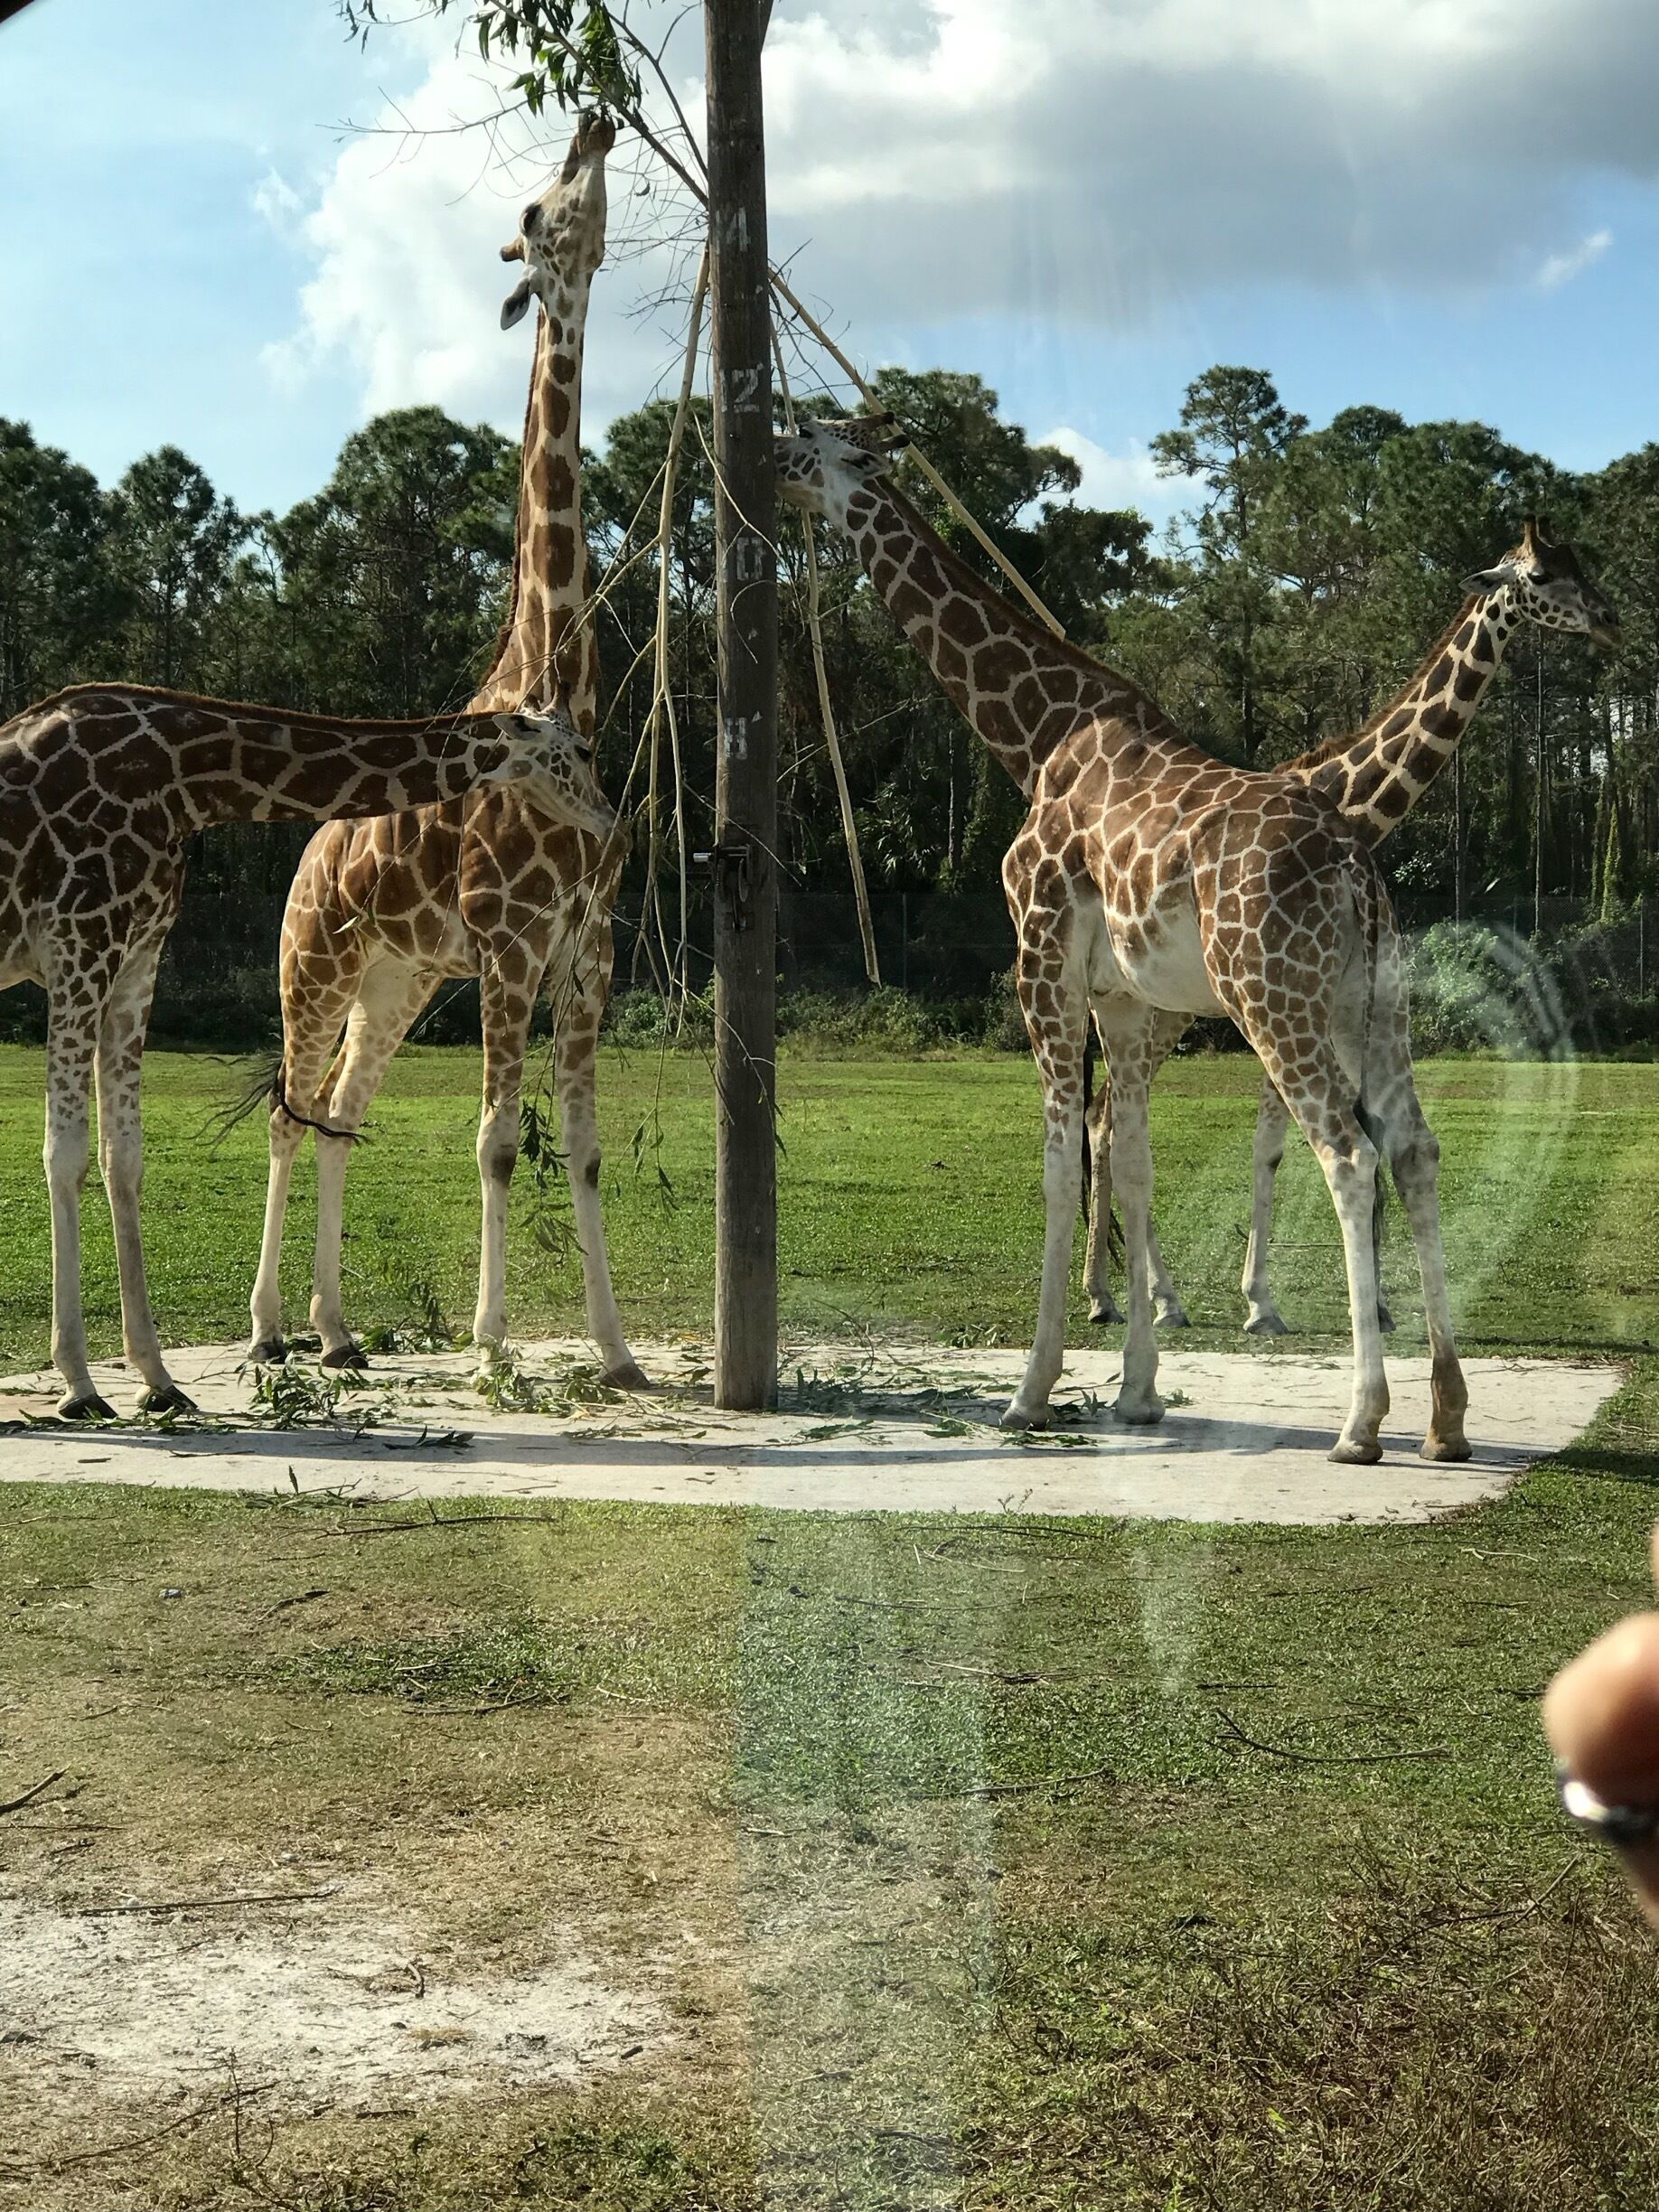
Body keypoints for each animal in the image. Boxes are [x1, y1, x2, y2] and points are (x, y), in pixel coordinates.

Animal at [0, 682, 603, 1420]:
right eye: (582, 751)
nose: (608, 820)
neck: (182, 779)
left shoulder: (136, 954)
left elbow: (125, 1158)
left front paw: (156, 1377)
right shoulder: (80, 942)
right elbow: (66, 1156)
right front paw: (79, 1384)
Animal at [248, 113, 646, 1386]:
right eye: (535, 209)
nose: (597, 120)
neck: (554, 687)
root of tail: (309, 855)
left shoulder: (587, 954)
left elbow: (584, 1148)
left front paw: (617, 1353)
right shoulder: (513, 950)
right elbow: (496, 1143)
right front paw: (491, 1348)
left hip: (399, 980)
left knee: (341, 1111)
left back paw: (335, 1335)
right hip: (314, 961)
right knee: (289, 1112)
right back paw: (269, 1331)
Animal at [775, 418, 1468, 1462]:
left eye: (811, 441)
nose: (767, 466)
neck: (1038, 735)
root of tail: (1355, 871)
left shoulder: (1042, 967)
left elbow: (1061, 1165)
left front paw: (1032, 1392)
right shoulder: (1128, 1005)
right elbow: (1132, 1166)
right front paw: (1138, 1391)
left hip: (1274, 998)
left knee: (1348, 1157)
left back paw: (1362, 1421)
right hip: (1373, 1005)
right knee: (1416, 1150)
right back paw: (1446, 1418)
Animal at [1081, 520, 1620, 1335]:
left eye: (1579, 562)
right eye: (1542, 575)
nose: (1610, 619)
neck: (1346, 798)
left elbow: (1338, 1131)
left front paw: (1379, 1305)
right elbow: (1275, 1145)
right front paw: (1264, 1302)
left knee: (1106, 1118)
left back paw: (1138, 1294)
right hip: (1157, 1011)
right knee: (1108, 1122)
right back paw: (1120, 1295)